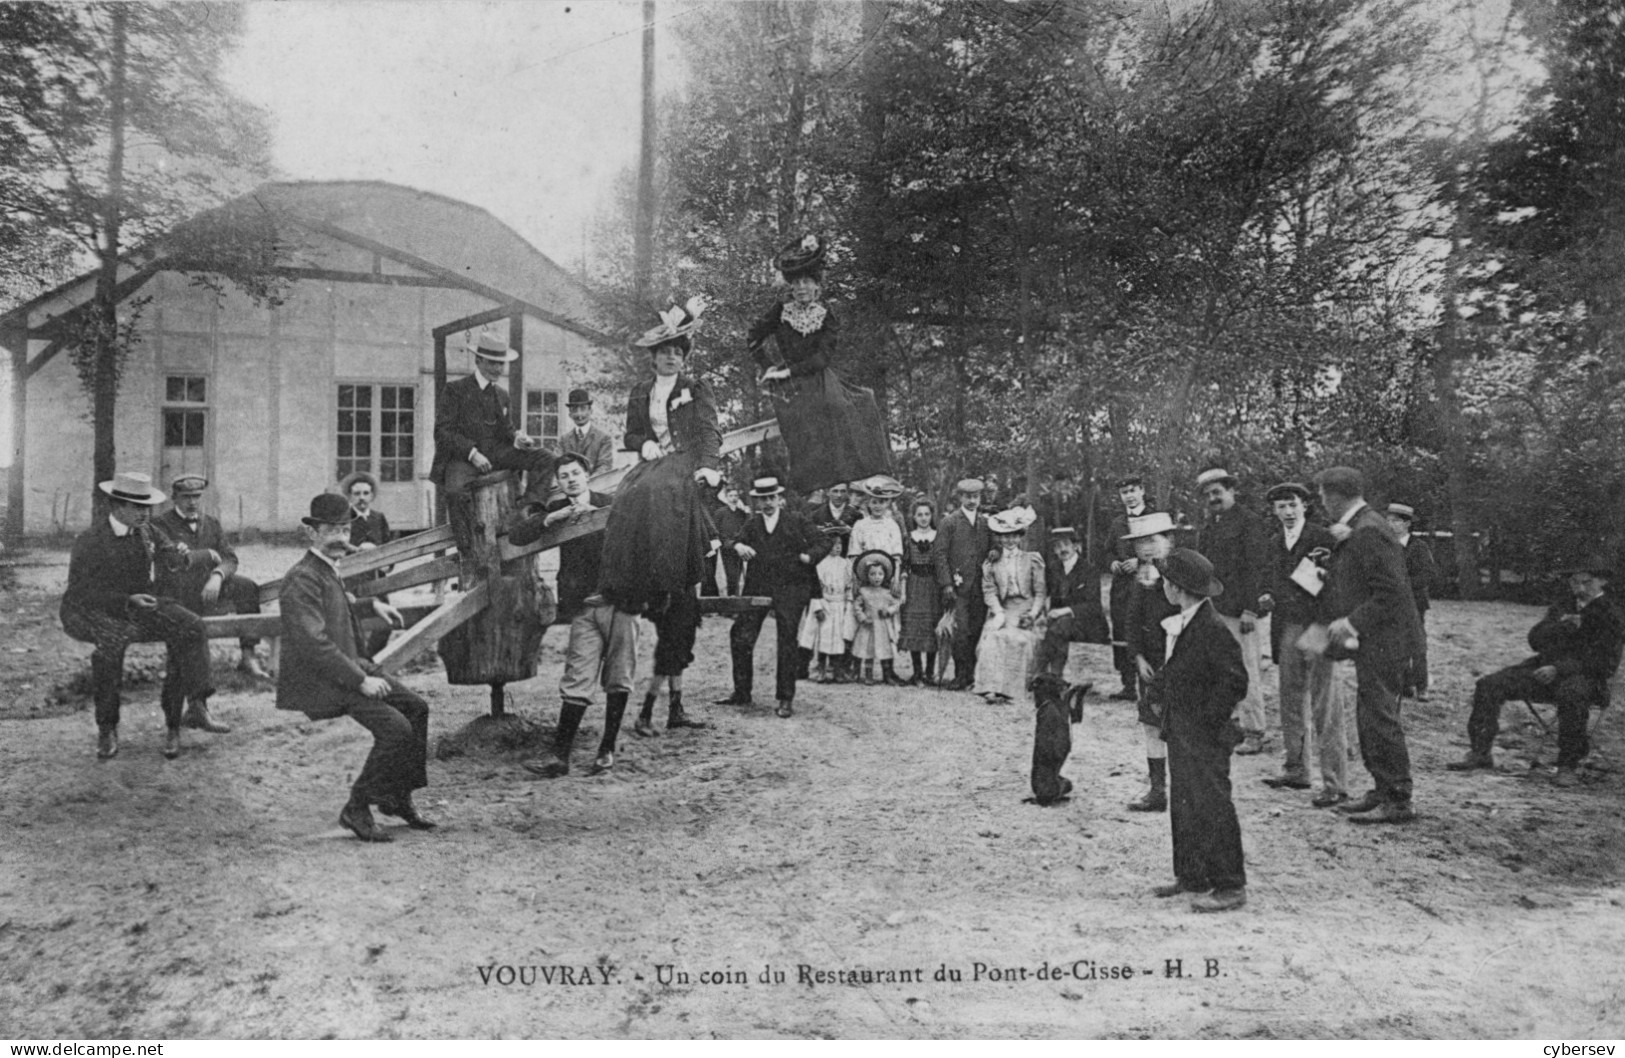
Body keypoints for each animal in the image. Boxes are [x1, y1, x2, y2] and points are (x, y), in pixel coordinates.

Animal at [1027, 676, 1092, 806]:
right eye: (1054, 678)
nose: (1068, 683)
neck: (1053, 700)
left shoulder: (1074, 716)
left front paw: (1081, 687)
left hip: (1067, 783)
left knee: (1060, 792)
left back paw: (1063, 799)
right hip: (1048, 789)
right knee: (1045, 799)